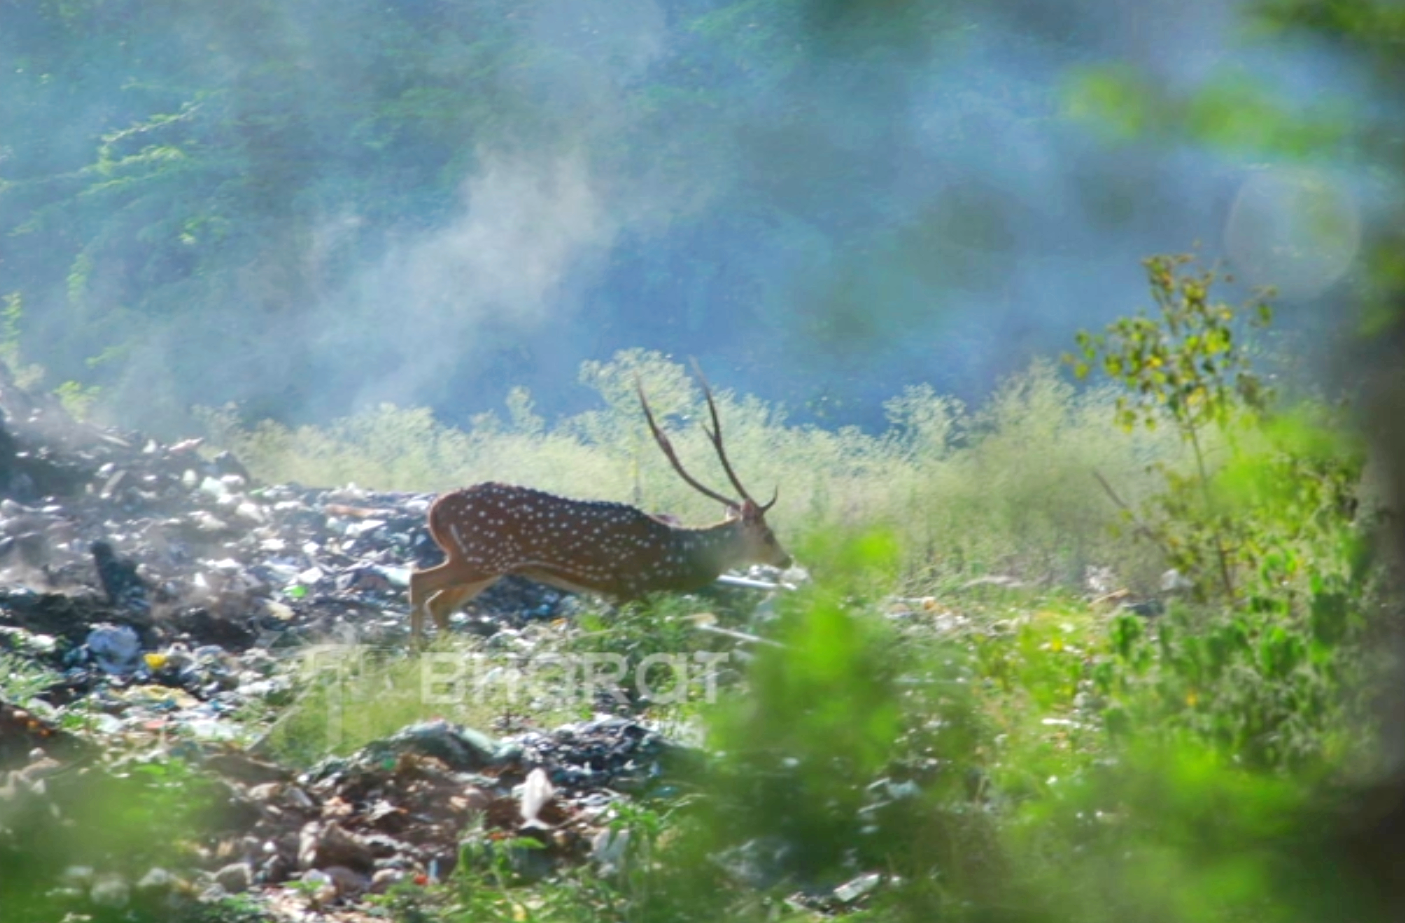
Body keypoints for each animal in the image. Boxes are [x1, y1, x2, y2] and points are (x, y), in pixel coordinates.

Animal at [410, 368, 792, 640]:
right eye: (768, 535)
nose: (787, 560)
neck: (675, 559)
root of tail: (436, 510)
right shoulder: (633, 587)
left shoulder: (617, 593)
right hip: (479, 555)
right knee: (419, 581)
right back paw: (419, 653)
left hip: (487, 564)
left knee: (439, 602)